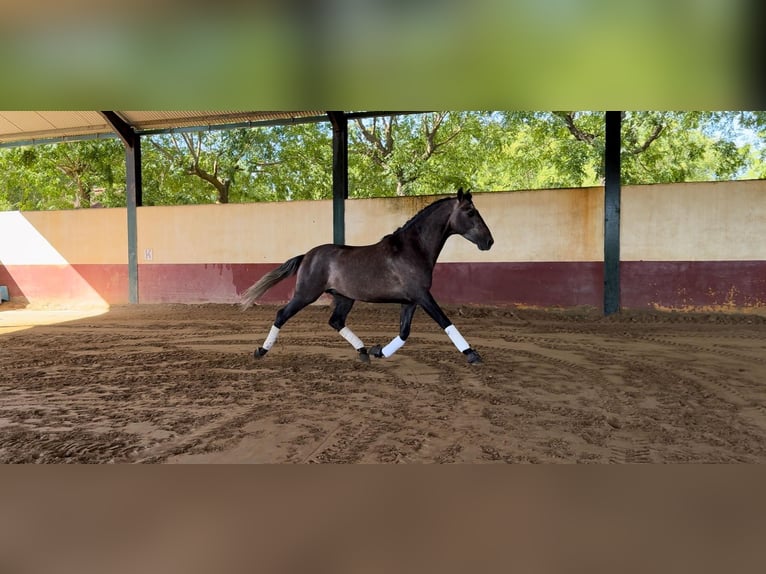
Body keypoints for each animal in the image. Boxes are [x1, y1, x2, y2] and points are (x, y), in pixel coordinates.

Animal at [242, 189, 498, 364]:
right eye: (470, 212)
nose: (489, 241)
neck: (412, 249)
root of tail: (307, 255)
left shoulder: (411, 301)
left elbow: (404, 332)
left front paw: (379, 351)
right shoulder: (422, 296)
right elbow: (445, 321)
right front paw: (472, 354)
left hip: (344, 298)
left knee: (336, 321)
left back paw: (363, 351)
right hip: (306, 294)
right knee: (282, 315)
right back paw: (260, 351)